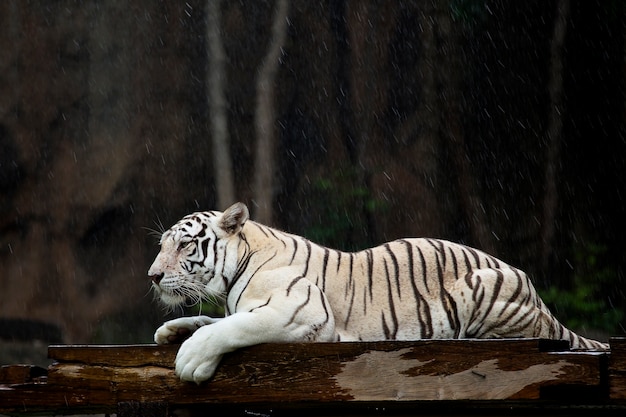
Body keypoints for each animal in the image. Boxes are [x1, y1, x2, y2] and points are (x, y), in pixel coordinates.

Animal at [149, 203, 608, 382]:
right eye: (162, 245)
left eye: (184, 245)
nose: (153, 275)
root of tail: (537, 295)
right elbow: (213, 319)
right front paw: (172, 331)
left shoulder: (302, 311)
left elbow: (231, 328)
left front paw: (191, 360)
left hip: (482, 287)